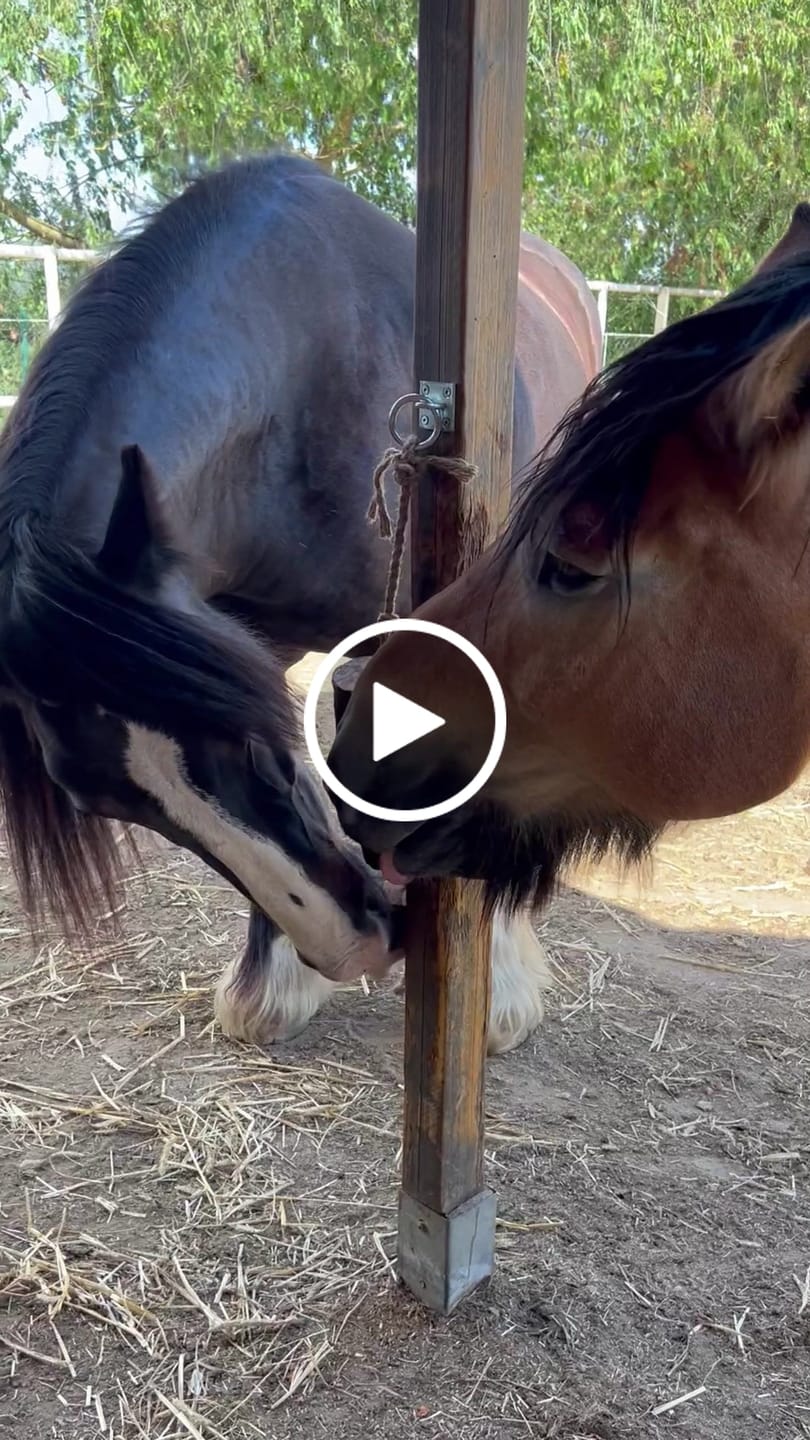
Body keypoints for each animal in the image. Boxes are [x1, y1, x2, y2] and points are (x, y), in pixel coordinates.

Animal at [0, 152, 600, 1054]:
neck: (310, 386)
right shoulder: (247, 643)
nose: (354, 948)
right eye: (102, 801)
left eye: (253, 749)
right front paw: (271, 986)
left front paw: (494, 994)